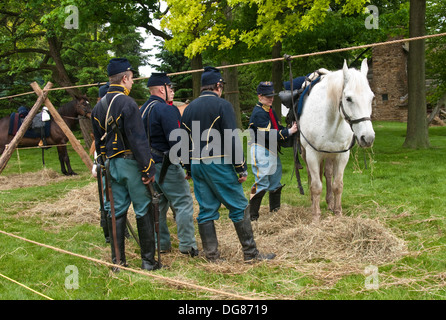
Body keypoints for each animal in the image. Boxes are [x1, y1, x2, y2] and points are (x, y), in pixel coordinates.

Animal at [298, 59, 374, 222]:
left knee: (327, 174)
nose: (368, 138)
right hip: (306, 154)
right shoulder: (312, 155)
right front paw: (315, 216)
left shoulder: (342, 155)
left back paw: (330, 203)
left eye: (372, 98)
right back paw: (313, 202)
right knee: (312, 177)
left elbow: (337, 184)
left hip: (330, 155)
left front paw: (338, 212)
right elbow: (316, 186)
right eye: (348, 98)